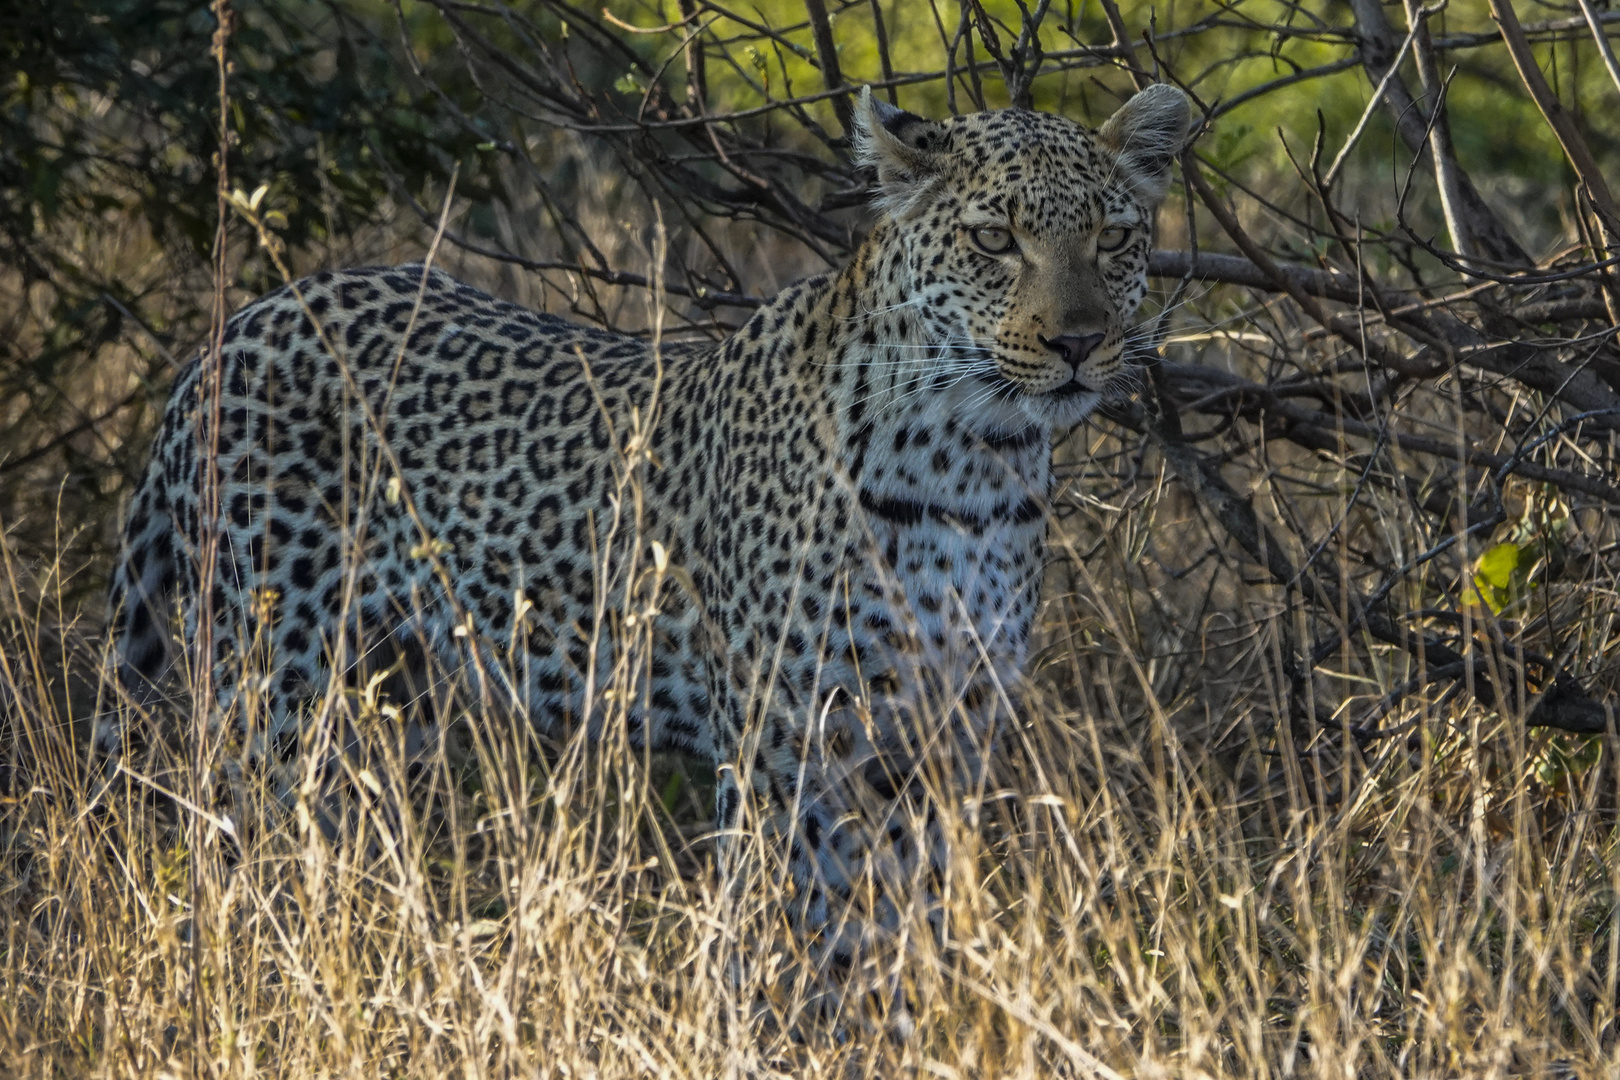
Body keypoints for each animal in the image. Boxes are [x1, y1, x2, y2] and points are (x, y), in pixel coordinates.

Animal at [101, 86, 1192, 971]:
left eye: (1114, 239)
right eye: (994, 240)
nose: (1080, 342)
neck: (976, 465)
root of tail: (236, 330)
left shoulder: (943, 737)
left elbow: (902, 928)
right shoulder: (788, 744)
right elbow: (794, 933)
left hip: (394, 697)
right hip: (271, 688)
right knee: (238, 854)